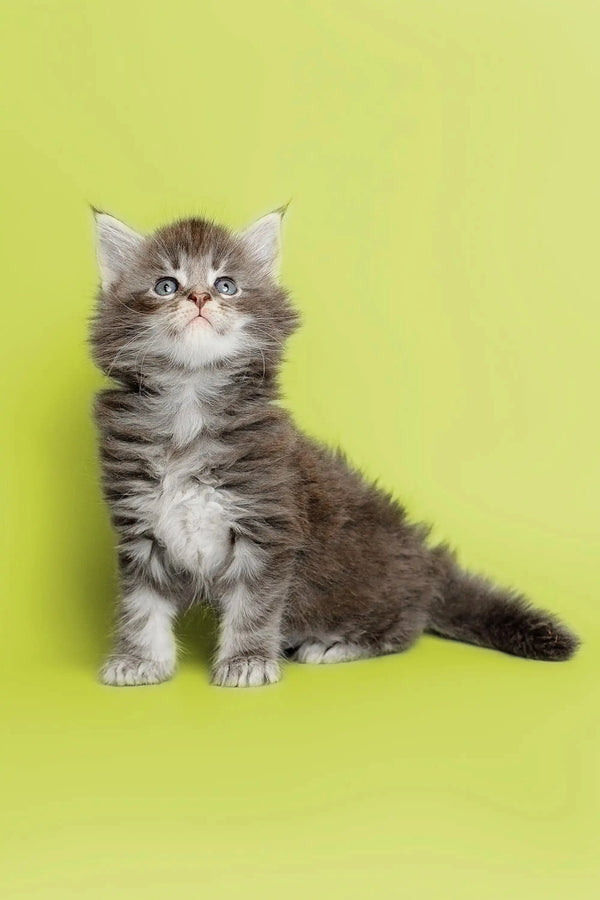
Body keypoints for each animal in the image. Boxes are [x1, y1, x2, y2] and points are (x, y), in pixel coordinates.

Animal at [90, 209, 580, 688]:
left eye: (226, 285)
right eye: (166, 286)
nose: (198, 298)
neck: (189, 406)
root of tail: (427, 561)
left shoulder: (268, 529)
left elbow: (253, 609)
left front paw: (247, 662)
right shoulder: (140, 532)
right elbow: (141, 608)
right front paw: (139, 661)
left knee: (404, 628)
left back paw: (336, 645)